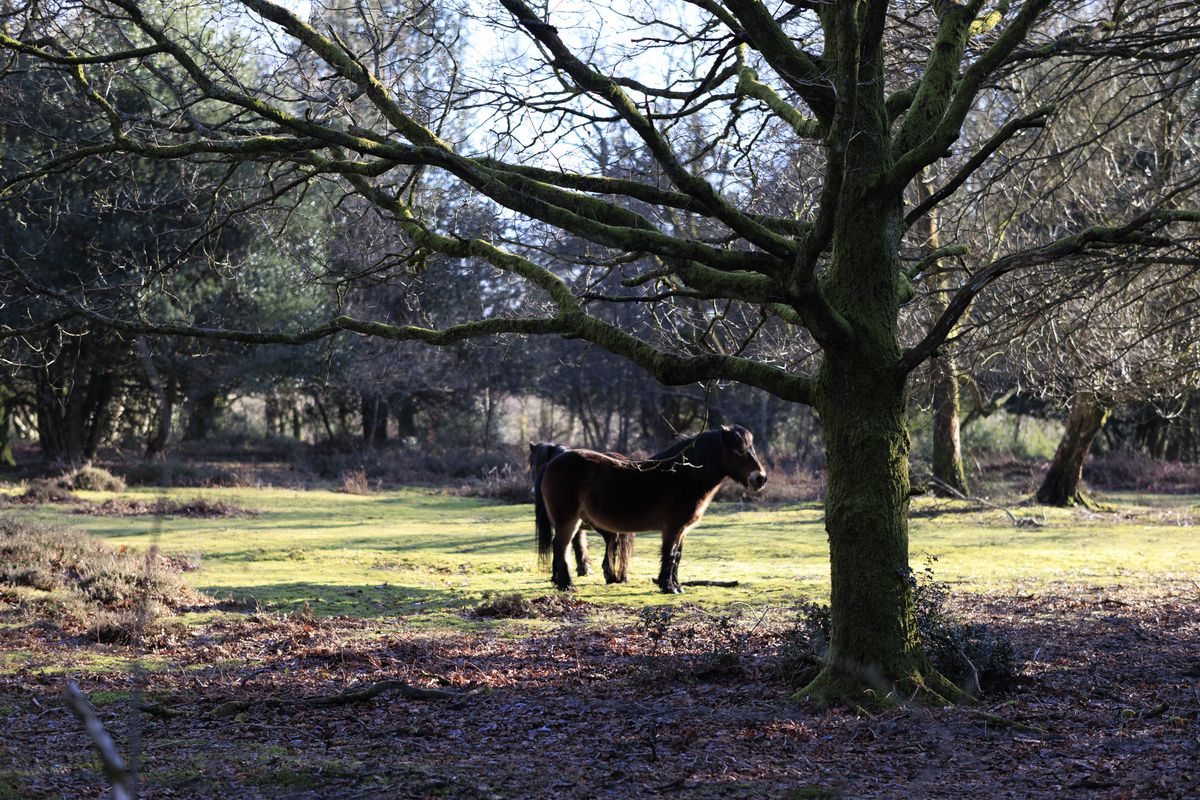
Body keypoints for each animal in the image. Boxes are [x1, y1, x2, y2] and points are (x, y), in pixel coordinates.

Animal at [528, 442, 634, 584]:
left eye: (533, 464)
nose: (533, 492)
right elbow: (578, 543)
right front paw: (583, 569)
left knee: (612, 539)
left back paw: (608, 572)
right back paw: (619, 576)